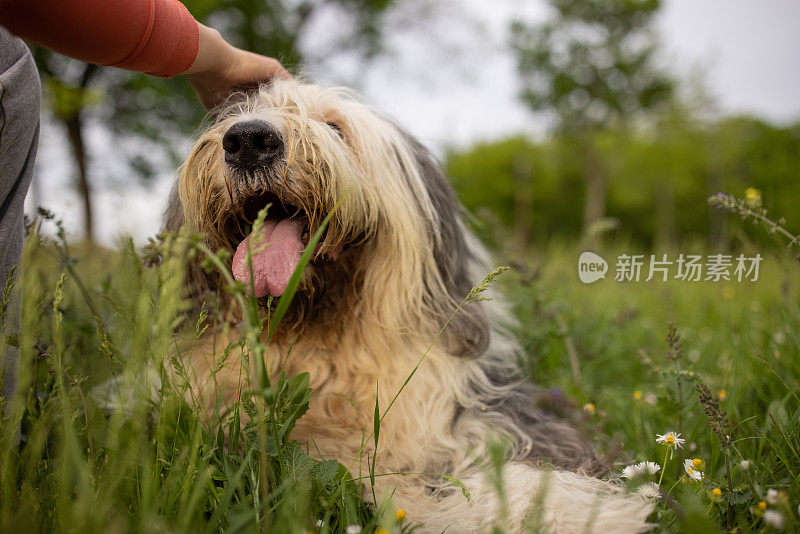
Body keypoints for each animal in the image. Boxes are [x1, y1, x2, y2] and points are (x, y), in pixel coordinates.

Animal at [166, 80, 652, 534]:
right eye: (236, 115)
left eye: (335, 127)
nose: (248, 139)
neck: (321, 340)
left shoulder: (482, 415)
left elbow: (533, 475)